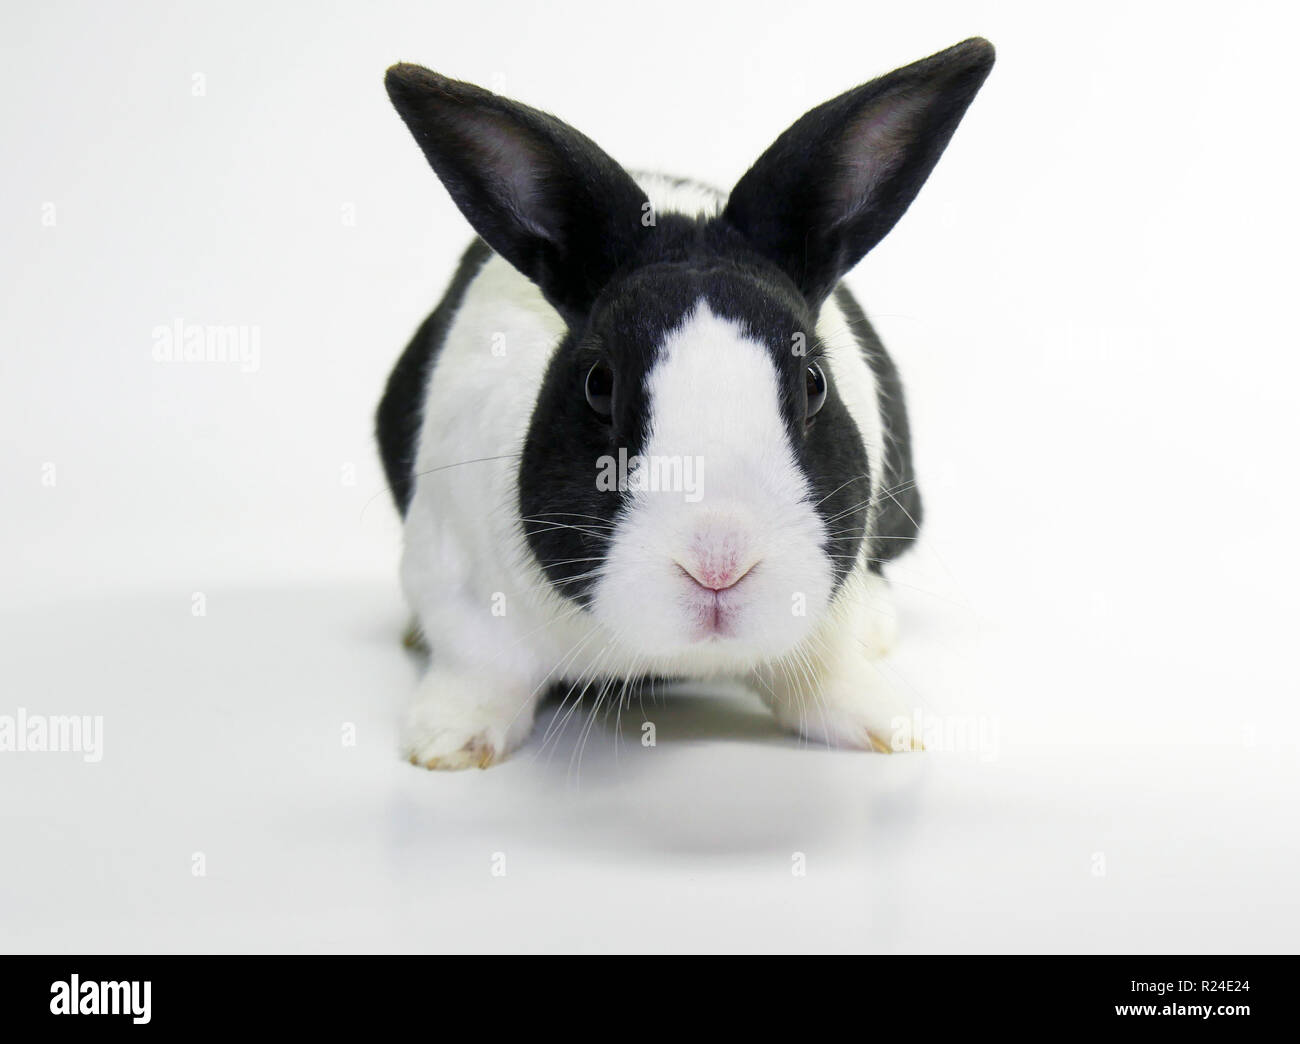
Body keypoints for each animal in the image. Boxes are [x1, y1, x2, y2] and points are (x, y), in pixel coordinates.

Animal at [377, 38, 994, 769]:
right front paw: (447, 743)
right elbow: (478, 670)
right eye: (598, 384)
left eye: (814, 382)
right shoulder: (458, 584)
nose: (718, 562)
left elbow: (827, 672)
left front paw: (887, 726)